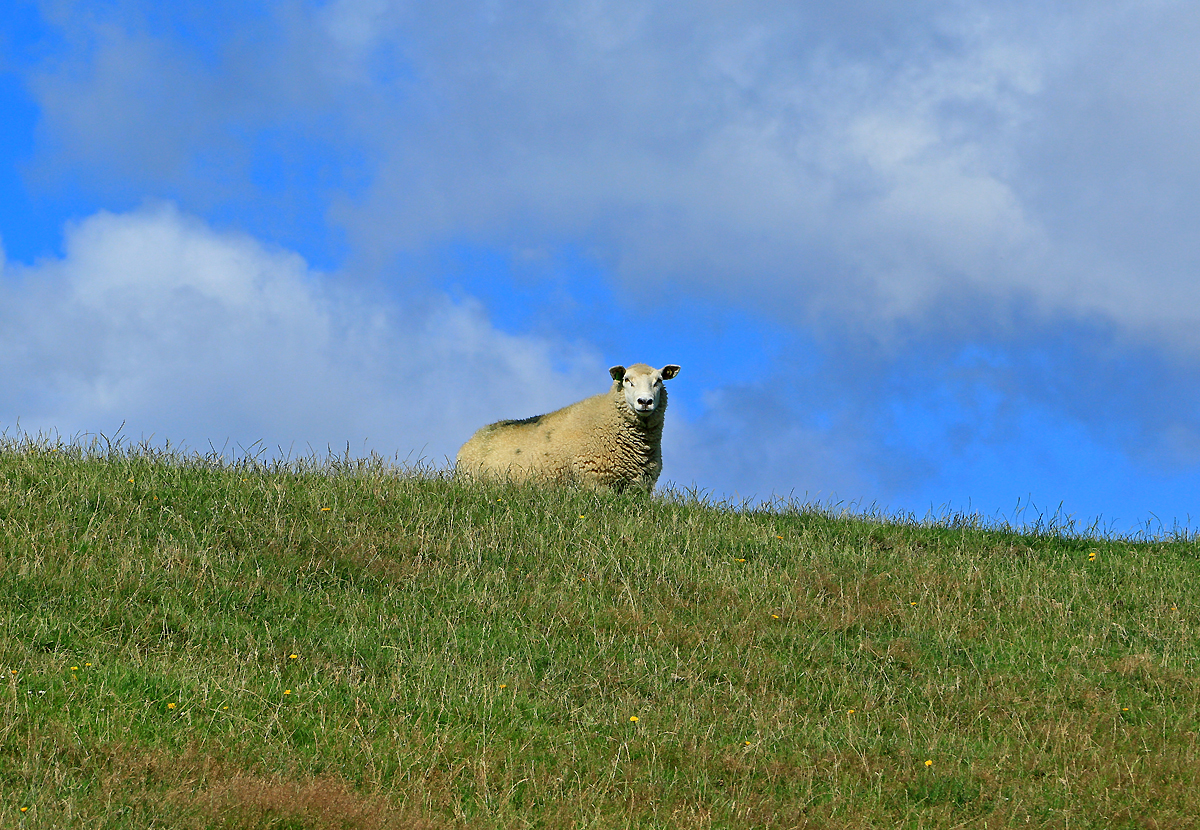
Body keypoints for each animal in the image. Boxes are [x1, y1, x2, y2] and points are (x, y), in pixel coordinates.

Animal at [453, 364, 681, 491]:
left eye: (659, 381)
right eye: (626, 380)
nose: (645, 402)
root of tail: (473, 437)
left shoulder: (639, 488)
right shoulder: (595, 482)